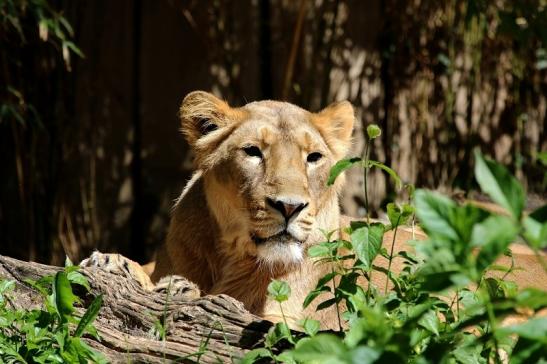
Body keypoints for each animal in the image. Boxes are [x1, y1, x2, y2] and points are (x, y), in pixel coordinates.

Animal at [82, 90, 547, 330]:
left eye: (313, 158)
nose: (289, 207)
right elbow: (147, 268)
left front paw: (180, 289)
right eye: (253, 152)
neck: (233, 256)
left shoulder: (290, 319)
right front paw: (113, 263)